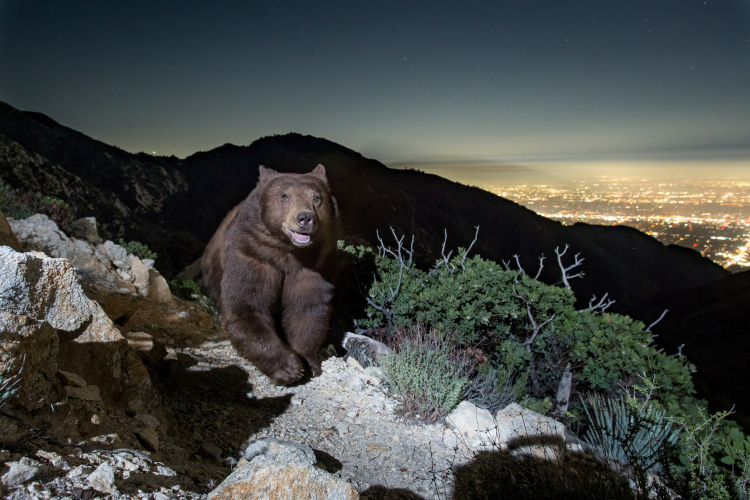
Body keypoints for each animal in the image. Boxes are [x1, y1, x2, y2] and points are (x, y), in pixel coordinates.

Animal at [201, 166, 340, 384]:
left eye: (317, 197)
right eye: (284, 196)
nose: (305, 218)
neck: (289, 253)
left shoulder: (315, 267)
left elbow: (307, 309)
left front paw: (309, 361)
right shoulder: (253, 255)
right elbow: (247, 306)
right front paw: (289, 367)